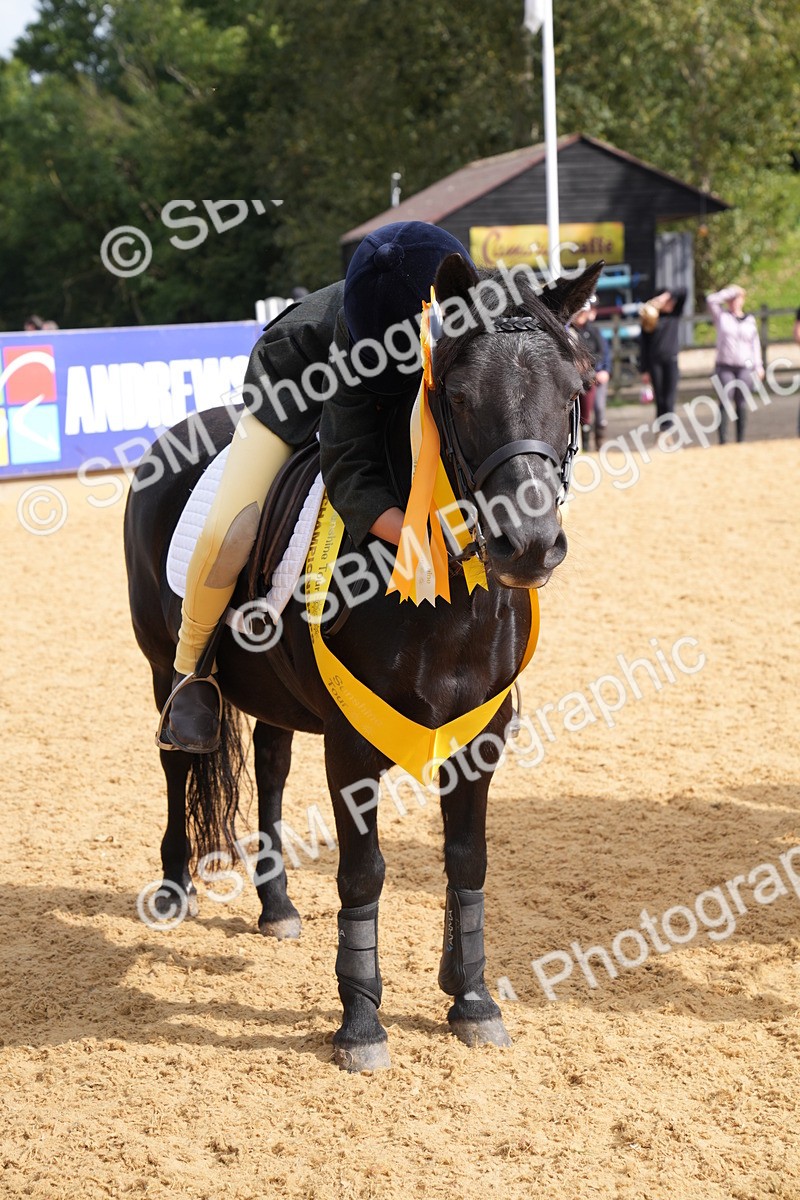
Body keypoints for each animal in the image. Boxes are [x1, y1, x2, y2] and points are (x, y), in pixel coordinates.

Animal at [123, 252, 601, 1071]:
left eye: (572, 393)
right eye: (459, 395)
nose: (530, 545)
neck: (447, 602)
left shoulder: (479, 738)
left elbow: (467, 861)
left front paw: (472, 998)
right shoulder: (352, 743)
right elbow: (364, 870)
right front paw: (361, 1021)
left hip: (275, 693)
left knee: (271, 767)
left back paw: (277, 905)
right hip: (164, 668)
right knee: (178, 760)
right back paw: (174, 885)